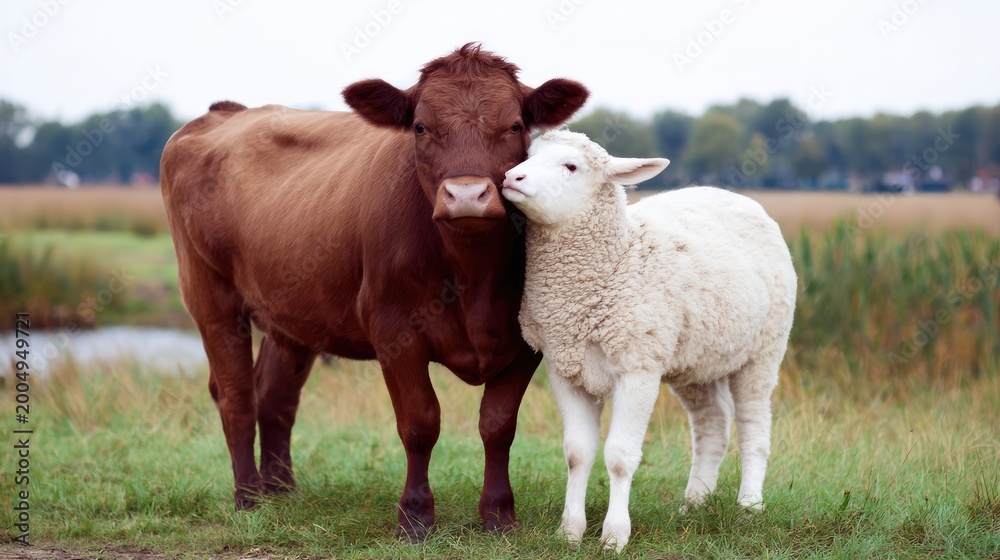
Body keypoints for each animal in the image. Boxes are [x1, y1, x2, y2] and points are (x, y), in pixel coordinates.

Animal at [159, 43, 588, 540]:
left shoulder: (526, 341)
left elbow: (498, 425)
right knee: (236, 396)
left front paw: (499, 515)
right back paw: (247, 496)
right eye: (420, 126)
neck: (472, 274)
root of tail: (226, 111)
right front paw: (416, 517)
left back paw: (280, 491)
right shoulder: (393, 330)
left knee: (275, 397)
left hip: (291, 316)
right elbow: (420, 422)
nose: (466, 196)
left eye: (516, 125)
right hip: (210, 297)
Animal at [501, 129, 797, 551]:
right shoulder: (565, 366)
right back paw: (696, 502)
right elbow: (577, 454)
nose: (512, 177)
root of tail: (734, 195)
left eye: (571, 166)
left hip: (764, 349)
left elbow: (619, 456)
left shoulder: (637, 367)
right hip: (697, 360)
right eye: (529, 154)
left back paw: (749, 506)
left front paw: (613, 536)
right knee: (713, 424)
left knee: (753, 427)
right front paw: (570, 532)